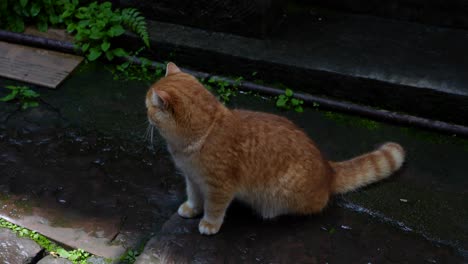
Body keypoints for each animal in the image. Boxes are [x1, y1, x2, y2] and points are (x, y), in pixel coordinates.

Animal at [147, 62, 406, 235]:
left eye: (148, 104)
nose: (145, 111)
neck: (204, 132)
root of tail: (328, 169)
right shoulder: (192, 179)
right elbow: (193, 197)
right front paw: (191, 209)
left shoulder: (220, 188)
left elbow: (214, 208)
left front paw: (209, 224)